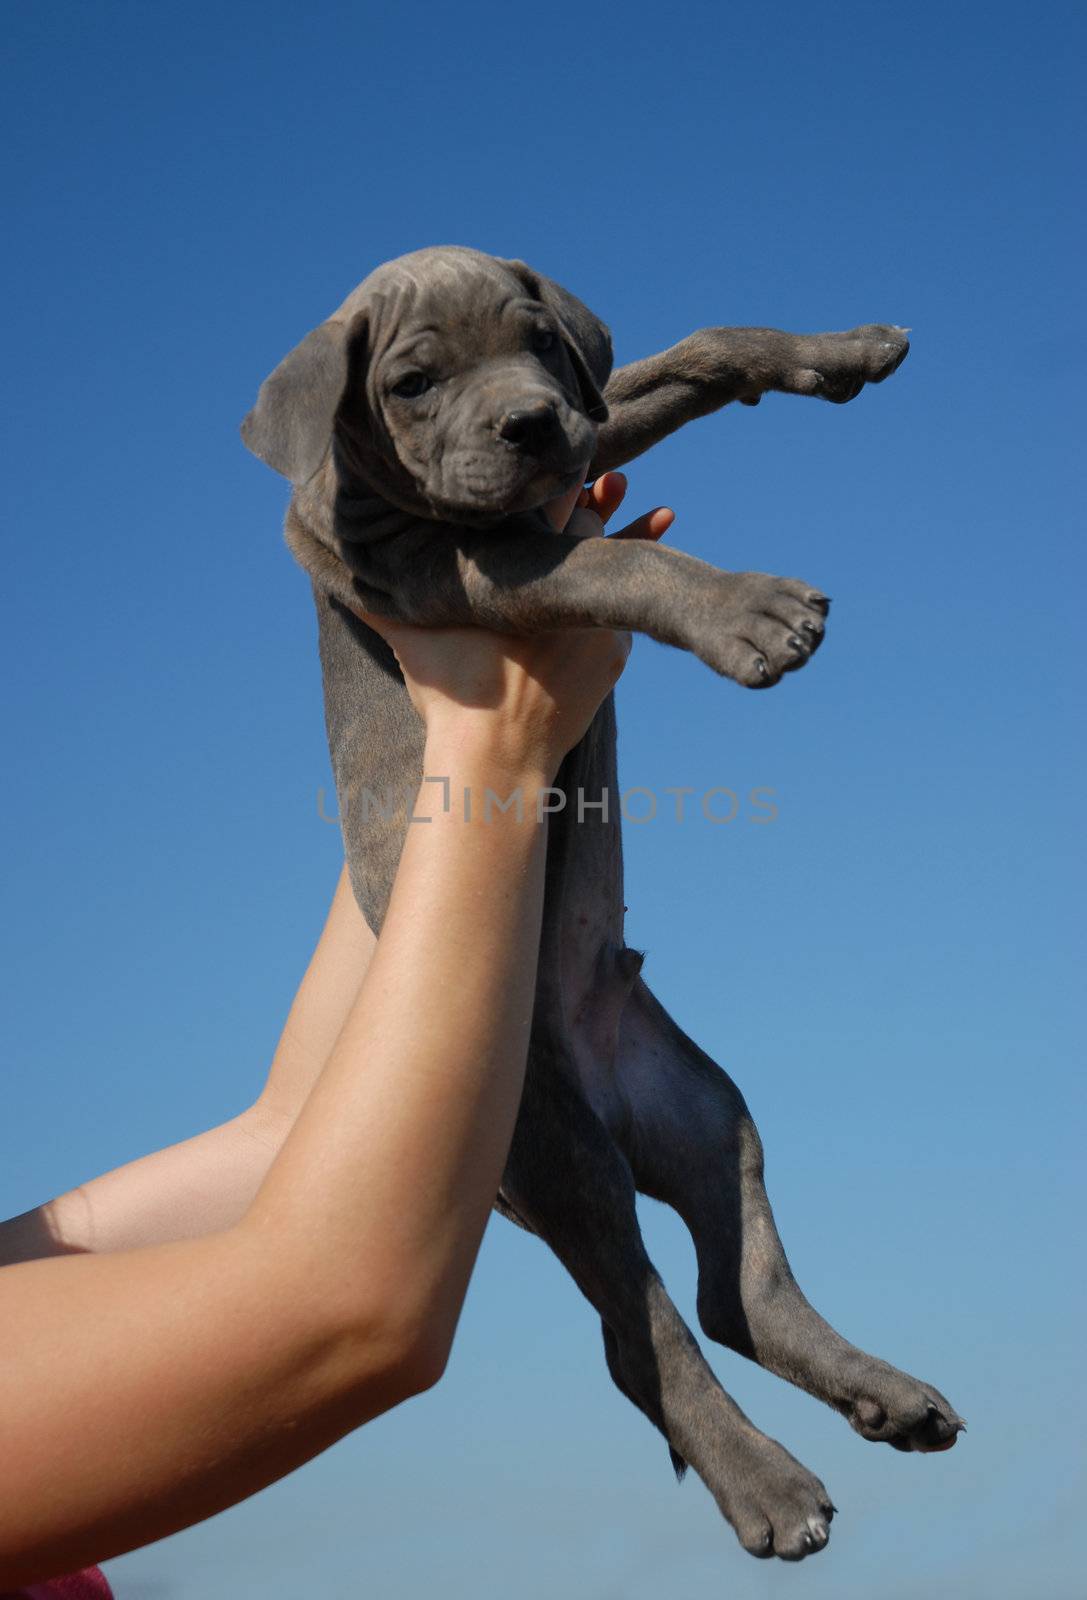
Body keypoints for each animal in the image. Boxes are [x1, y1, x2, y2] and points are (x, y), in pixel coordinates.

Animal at [244, 249, 960, 1561]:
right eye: (412, 381)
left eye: (537, 344)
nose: (527, 426)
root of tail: (598, 1088)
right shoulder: (475, 568)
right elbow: (620, 561)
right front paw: (749, 614)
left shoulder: (583, 443)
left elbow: (690, 355)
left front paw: (841, 352)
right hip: (562, 1147)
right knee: (645, 1337)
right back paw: (767, 1482)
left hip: (699, 1106)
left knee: (736, 1293)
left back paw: (885, 1395)